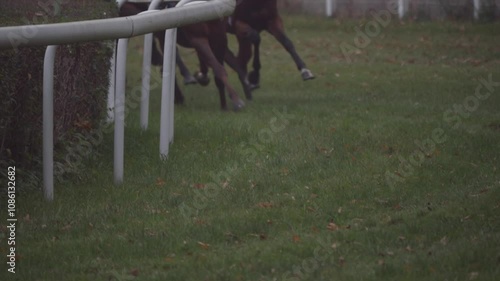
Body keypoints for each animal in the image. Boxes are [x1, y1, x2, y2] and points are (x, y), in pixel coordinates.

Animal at [117, 1, 250, 110]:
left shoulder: (219, 35)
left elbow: (219, 67)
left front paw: (225, 104)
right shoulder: (197, 38)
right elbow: (218, 68)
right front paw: (236, 100)